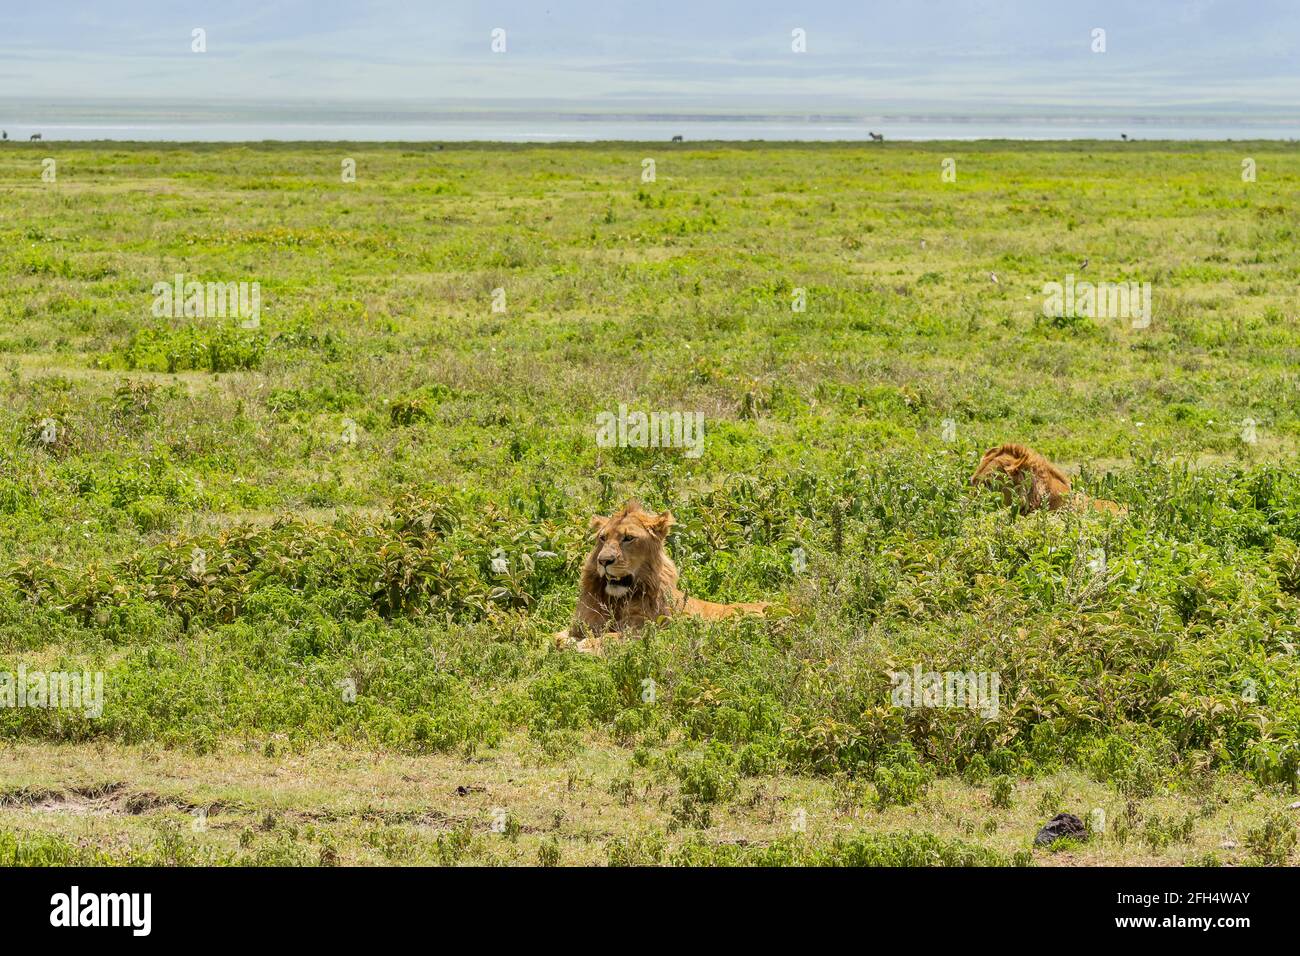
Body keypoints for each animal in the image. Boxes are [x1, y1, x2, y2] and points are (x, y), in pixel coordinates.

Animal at [553, 502, 764, 658]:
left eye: (628, 538)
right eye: (603, 538)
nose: (604, 561)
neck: (616, 601)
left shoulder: (650, 630)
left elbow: (610, 637)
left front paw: (582, 645)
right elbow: (555, 637)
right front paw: (567, 642)